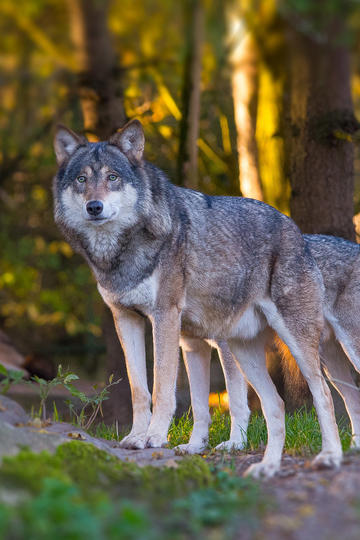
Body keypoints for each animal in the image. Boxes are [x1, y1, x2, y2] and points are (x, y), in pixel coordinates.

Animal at [52, 119, 342, 476]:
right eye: (81, 179)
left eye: (112, 177)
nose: (95, 207)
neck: (122, 253)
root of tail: (297, 231)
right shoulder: (127, 319)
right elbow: (141, 389)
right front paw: (138, 437)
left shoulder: (164, 316)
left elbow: (163, 387)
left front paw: (154, 438)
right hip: (228, 344)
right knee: (257, 400)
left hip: (290, 341)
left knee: (320, 394)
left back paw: (325, 456)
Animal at [180, 235, 360, 456]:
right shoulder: (192, 347)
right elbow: (198, 405)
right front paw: (195, 445)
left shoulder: (226, 346)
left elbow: (236, 402)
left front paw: (236, 443)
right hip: (330, 367)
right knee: (354, 401)